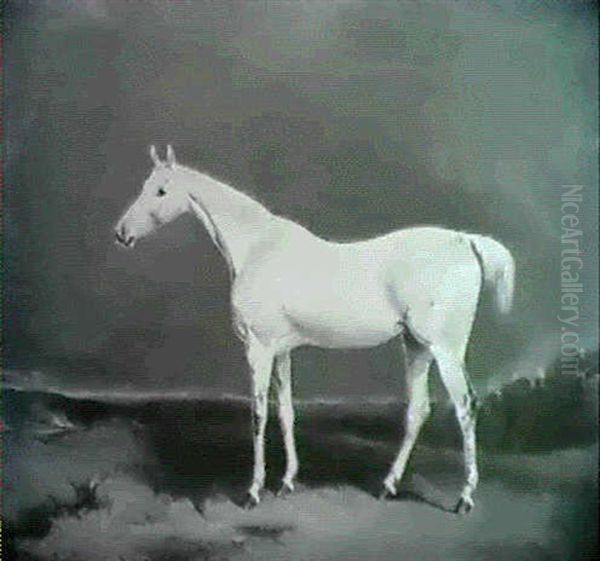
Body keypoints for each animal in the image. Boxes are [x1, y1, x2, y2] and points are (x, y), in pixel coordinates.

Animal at [115, 144, 512, 512]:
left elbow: (258, 415)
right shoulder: (282, 351)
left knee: (465, 406)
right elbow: (286, 412)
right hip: (415, 346)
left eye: (161, 191)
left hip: (445, 350)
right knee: (418, 410)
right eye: (145, 186)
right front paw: (287, 481)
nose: (122, 233)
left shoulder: (258, 349)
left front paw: (253, 491)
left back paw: (464, 498)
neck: (258, 248)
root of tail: (465, 240)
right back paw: (388, 485)